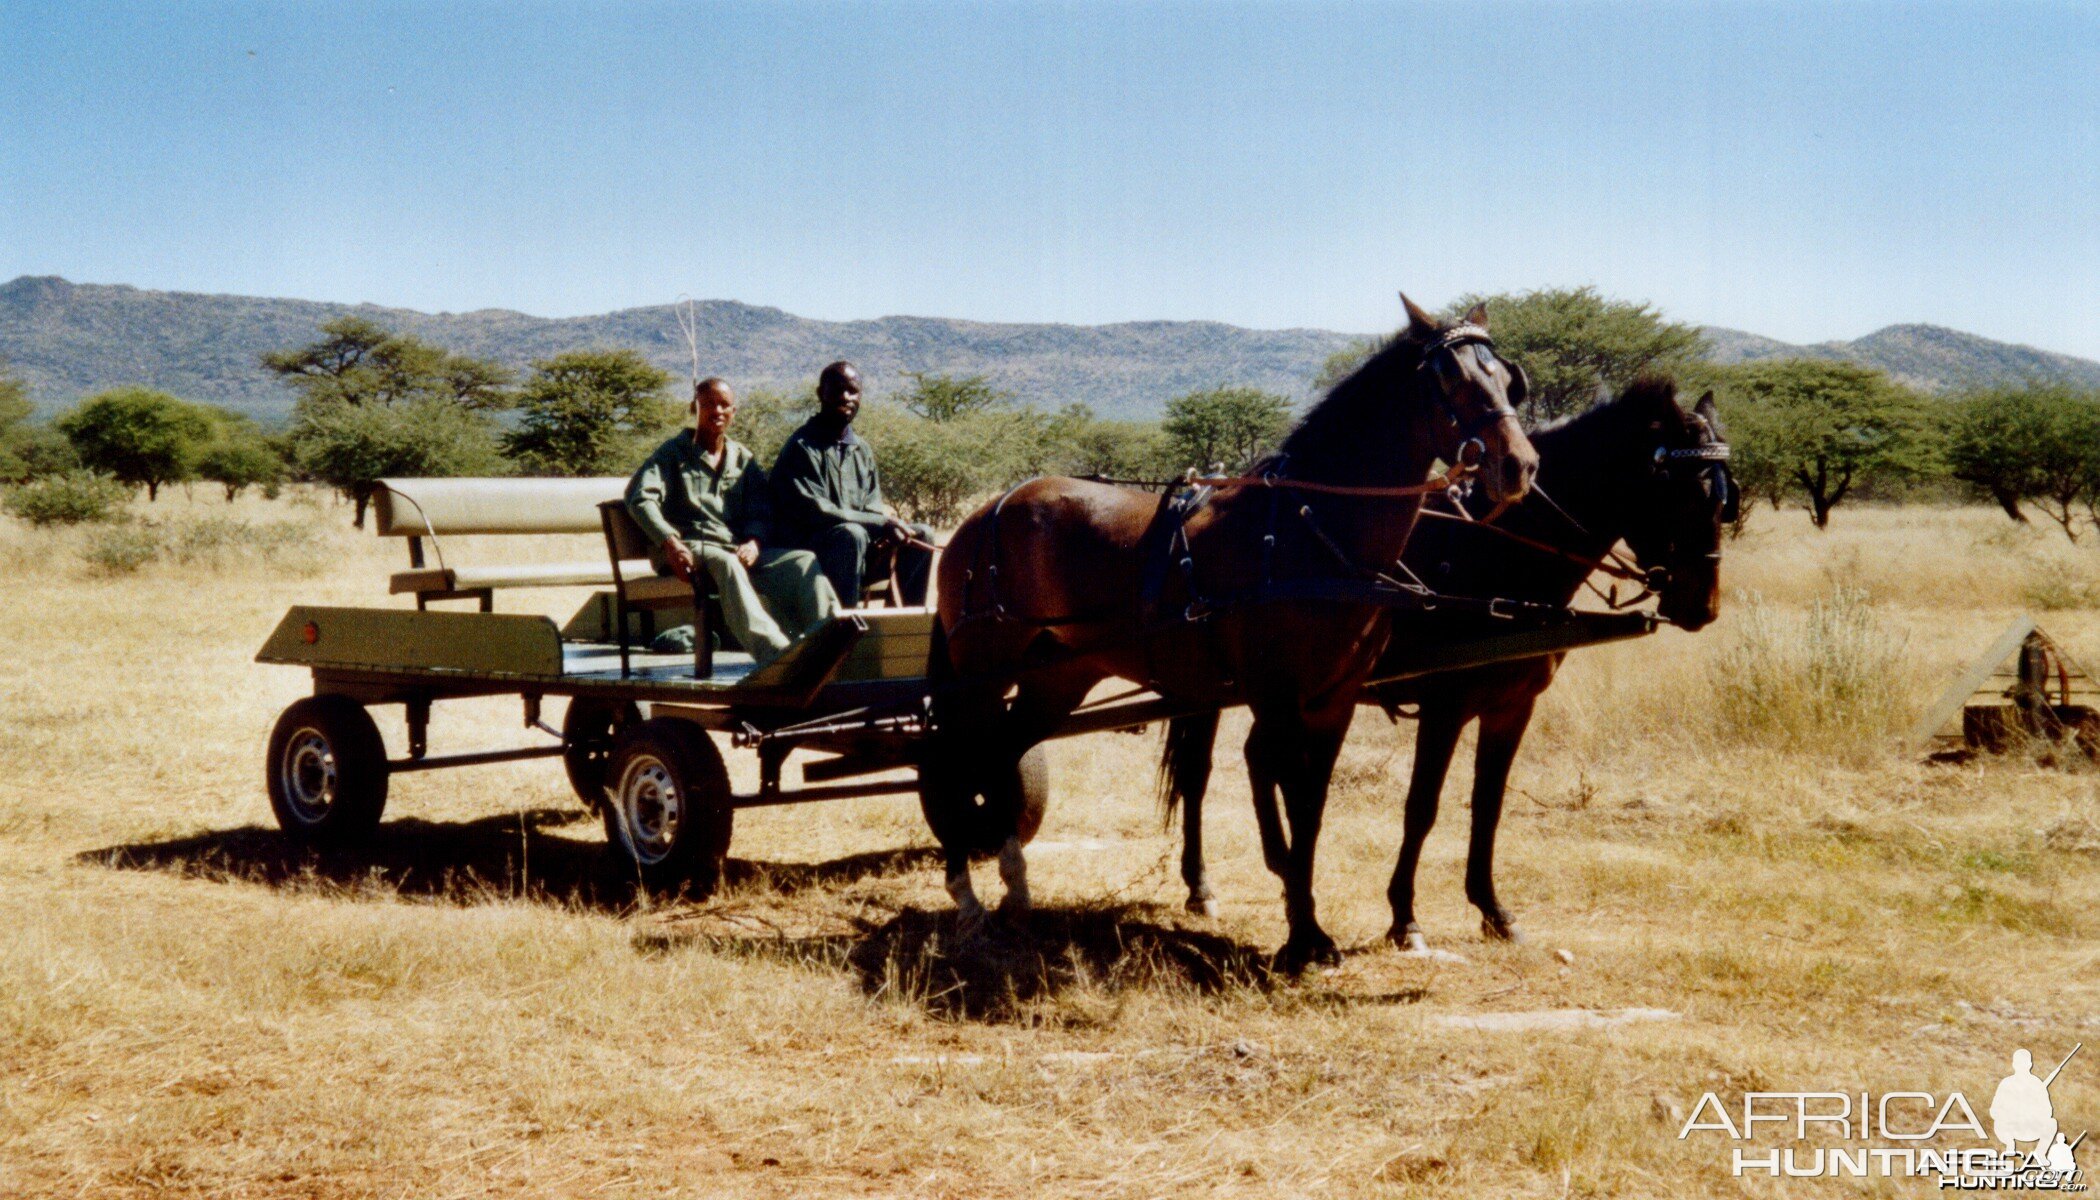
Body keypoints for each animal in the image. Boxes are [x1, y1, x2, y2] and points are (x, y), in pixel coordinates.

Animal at [936, 296, 1545, 970]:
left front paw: (1308, 927)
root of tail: (982, 515)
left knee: (1004, 751)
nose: (1519, 465)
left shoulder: (1332, 702)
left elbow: (1311, 809)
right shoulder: (1277, 698)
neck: (1309, 532)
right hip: (981, 673)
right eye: (1449, 379)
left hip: (1057, 677)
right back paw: (967, 894)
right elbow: (1293, 795)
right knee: (957, 758)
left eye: (1505, 376)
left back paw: (1016, 890)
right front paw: (1303, 935)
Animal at [1159, 380, 1730, 954]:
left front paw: (1493, 909)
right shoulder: (1445, 707)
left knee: (1251, 759)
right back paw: (1205, 886)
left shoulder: (1512, 708)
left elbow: (1488, 805)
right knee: (1201, 772)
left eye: (1727, 500)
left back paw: (1274, 870)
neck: (1497, 552)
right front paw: (1405, 918)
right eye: (1683, 493)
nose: (1703, 606)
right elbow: (1422, 807)